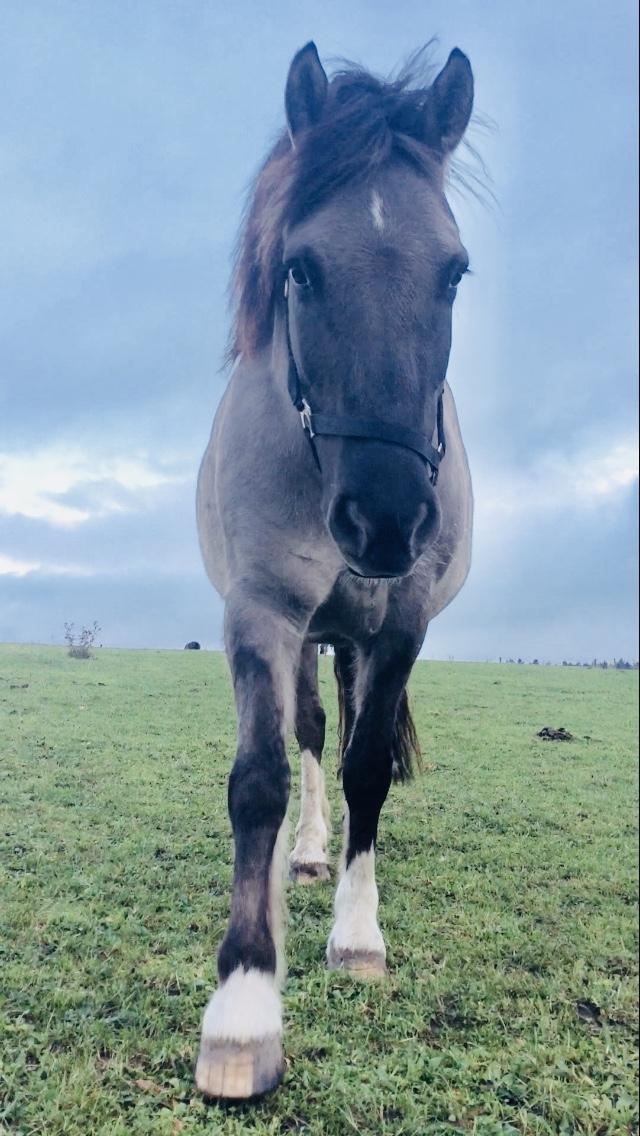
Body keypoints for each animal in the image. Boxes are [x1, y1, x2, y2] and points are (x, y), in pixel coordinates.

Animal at [195, 44, 475, 1099]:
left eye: (454, 271)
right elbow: (263, 778)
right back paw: (304, 858)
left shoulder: (399, 625)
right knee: (308, 736)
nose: (387, 517)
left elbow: (367, 769)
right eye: (301, 268)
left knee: (348, 739)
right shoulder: (263, 614)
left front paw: (358, 936)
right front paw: (243, 1005)